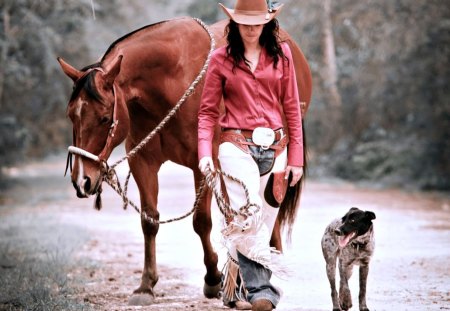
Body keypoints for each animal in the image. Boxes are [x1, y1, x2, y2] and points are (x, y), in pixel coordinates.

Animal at [58, 16, 312, 304]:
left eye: (104, 118)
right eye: (71, 115)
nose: (82, 180)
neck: (168, 81)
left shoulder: (202, 164)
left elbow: (201, 222)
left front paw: (213, 279)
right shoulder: (143, 162)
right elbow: (149, 220)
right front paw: (146, 285)